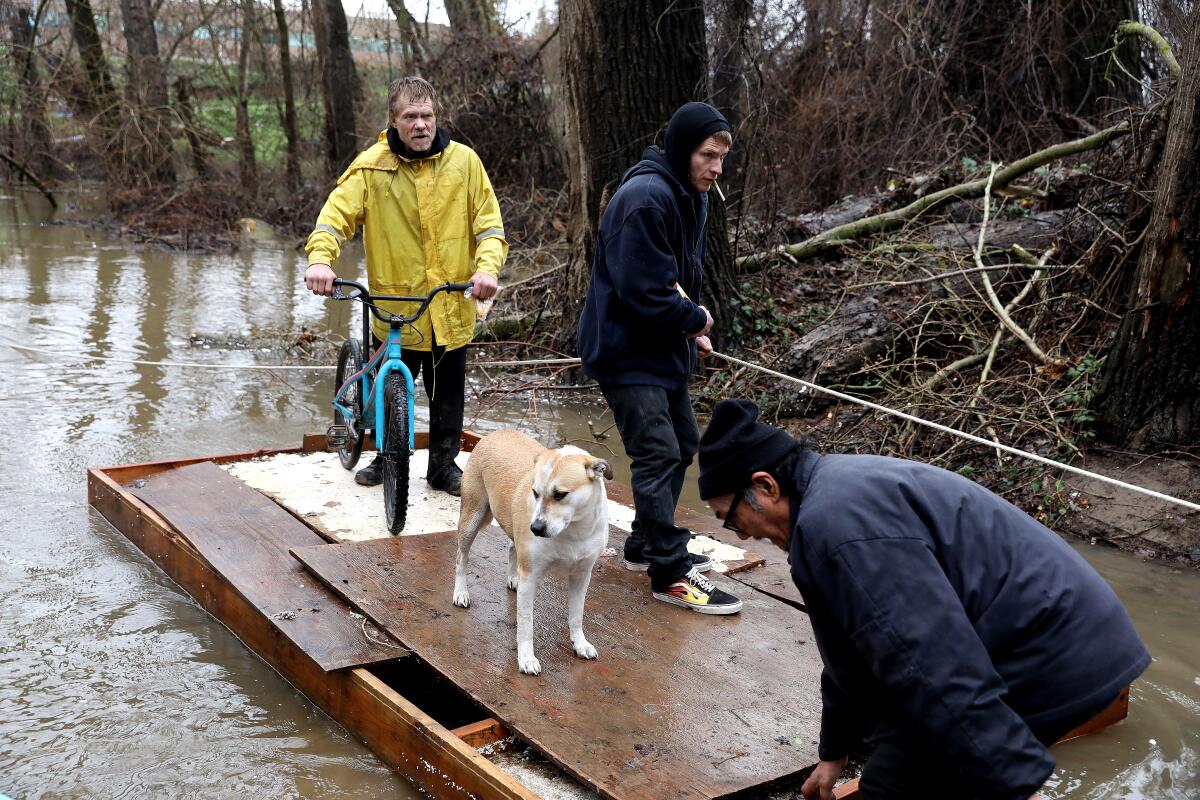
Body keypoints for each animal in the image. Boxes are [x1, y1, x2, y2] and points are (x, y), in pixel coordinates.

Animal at [453, 431, 614, 676]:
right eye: (535, 493)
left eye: (560, 495)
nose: (535, 529)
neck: (573, 530)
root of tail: (497, 432)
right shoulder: (531, 576)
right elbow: (526, 623)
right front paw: (527, 658)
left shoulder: (582, 575)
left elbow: (576, 615)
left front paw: (580, 643)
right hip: (474, 517)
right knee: (462, 557)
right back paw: (461, 592)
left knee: (512, 547)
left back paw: (512, 577)